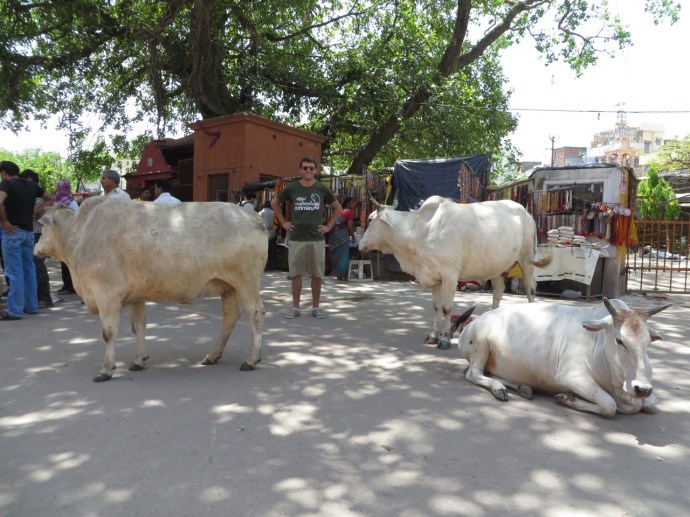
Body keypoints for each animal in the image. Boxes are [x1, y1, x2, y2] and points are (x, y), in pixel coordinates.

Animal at [35, 197, 267, 382]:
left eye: (42, 228)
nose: (36, 249)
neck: (80, 236)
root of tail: (252, 216)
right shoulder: (135, 297)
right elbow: (139, 327)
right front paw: (139, 360)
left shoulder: (107, 294)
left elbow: (109, 333)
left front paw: (106, 370)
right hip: (229, 287)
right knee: (230, 318)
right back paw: (212, 356)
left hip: (246, 282)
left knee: (255, 315)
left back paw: (252, 360)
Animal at [358, 196, 550, 350]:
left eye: (370, 219)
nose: (360, 244)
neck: (422, 230)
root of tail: (526, 213)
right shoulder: (434, 276)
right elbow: (436, 306)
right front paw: (434, 336)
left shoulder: (450, 275)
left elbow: (446, 307)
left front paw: (444, 340)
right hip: (497, 266)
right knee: (498, 290)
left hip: (526, 260)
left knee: (530, 289)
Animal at [452, 298, 671, 417]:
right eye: (619, 340)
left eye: (648, 342)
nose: (642, 388)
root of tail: (471, 323)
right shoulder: (570, 376)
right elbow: (609, 405)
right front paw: (567, 398)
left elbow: (651, 405)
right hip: (481, 345)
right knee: (474, 374)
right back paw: (499, 388)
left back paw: (523, 387)